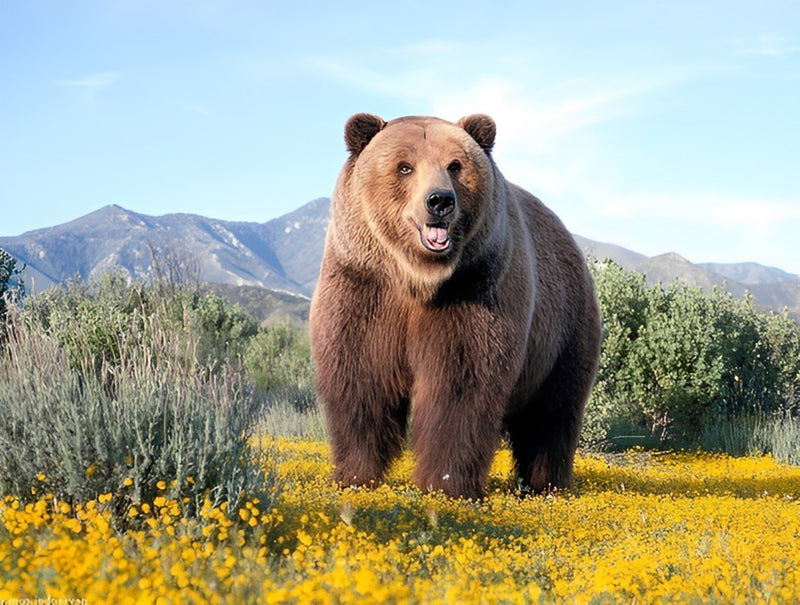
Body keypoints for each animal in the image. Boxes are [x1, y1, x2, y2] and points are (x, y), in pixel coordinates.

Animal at [310, 113, 596, 500]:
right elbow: (359, 377)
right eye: (404, 166)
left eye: (455, 165)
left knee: (552, 413)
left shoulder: (474, 289)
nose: (440, 200)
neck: (417, 278)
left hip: (564, 329)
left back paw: (545, 484)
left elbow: (460, 384)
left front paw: (446, 483)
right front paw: (355, 475)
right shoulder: (363, 286)